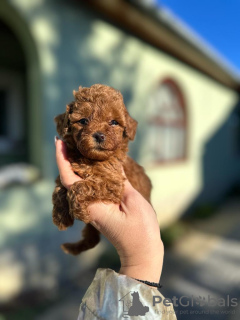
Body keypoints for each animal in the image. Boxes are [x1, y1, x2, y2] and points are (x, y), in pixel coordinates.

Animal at [52, 84, 151, 255]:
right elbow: (59, 188)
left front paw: (78, 210)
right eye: (83, 120)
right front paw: (60, 216)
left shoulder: (114, 183)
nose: (99, 136)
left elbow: (79, 187)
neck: (91, 160)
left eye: (113, 122)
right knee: (92, 239)